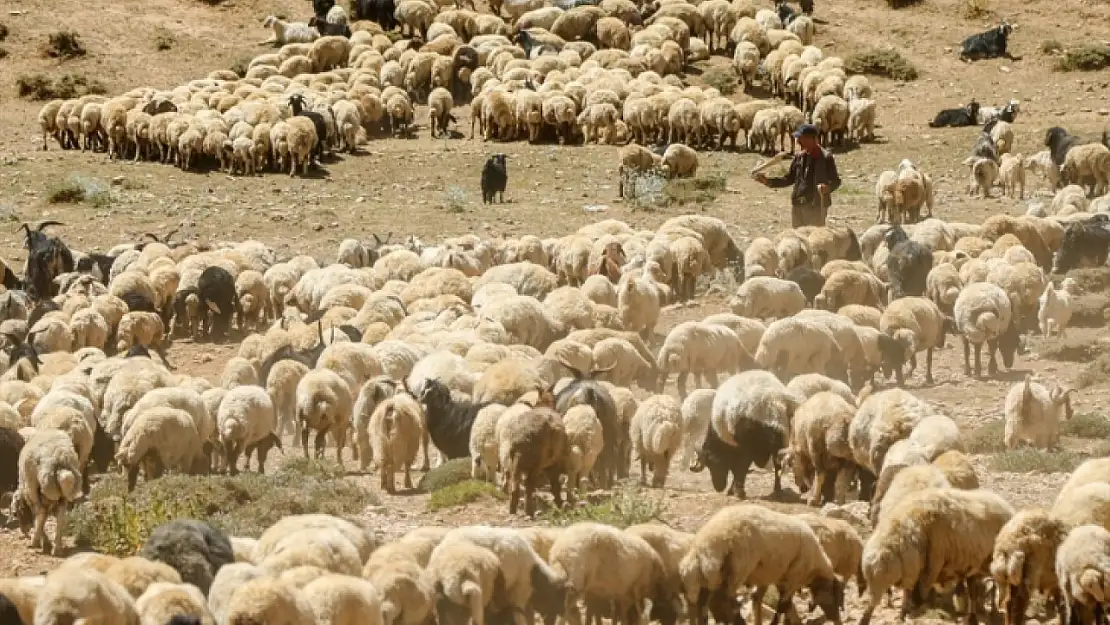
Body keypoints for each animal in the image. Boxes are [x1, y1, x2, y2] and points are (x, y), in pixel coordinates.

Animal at [674, 503, 839, 625]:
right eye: (834, 596)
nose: (836, 619)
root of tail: (706, 545)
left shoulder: (769, 577)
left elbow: (759, 600)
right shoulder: (793, 577)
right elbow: (782, 606)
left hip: (710, 576)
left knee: (703, 604)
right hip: (739, 567)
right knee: (725, 601)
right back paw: (738, 621)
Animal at [856, 488, 1016, 625]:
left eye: (886, 574)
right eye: (868, 578)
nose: (864, 619)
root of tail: (1005, 505)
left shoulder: (931, 566)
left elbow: (918, 595)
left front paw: (913, 610)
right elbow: (911, 594)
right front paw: (904, 613)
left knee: (996, 589)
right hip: (975, 566)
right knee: (974, 591)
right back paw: (973, 617)